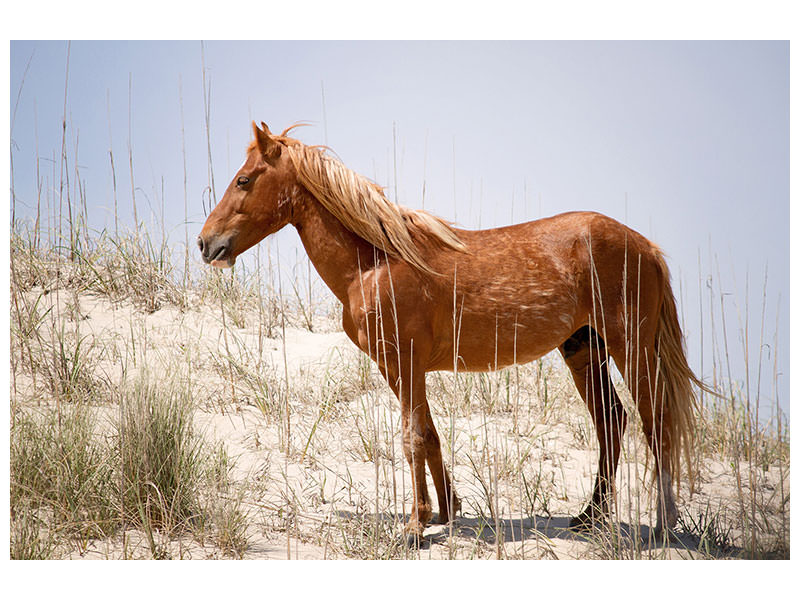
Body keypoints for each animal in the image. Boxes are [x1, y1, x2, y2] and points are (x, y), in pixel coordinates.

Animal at [200, 122, 708, 544]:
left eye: (244, 180)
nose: (206, 244)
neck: (375, 262)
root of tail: (646, 246)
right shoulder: (399, 368)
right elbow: (428, 434)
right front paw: (444, 512)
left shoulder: (406, 362)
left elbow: (411, 438)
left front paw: (415, 526)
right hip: (584, 350)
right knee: (611, 420)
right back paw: (590, 516)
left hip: (630, 348)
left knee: (655, 421)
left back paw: (662, 524)